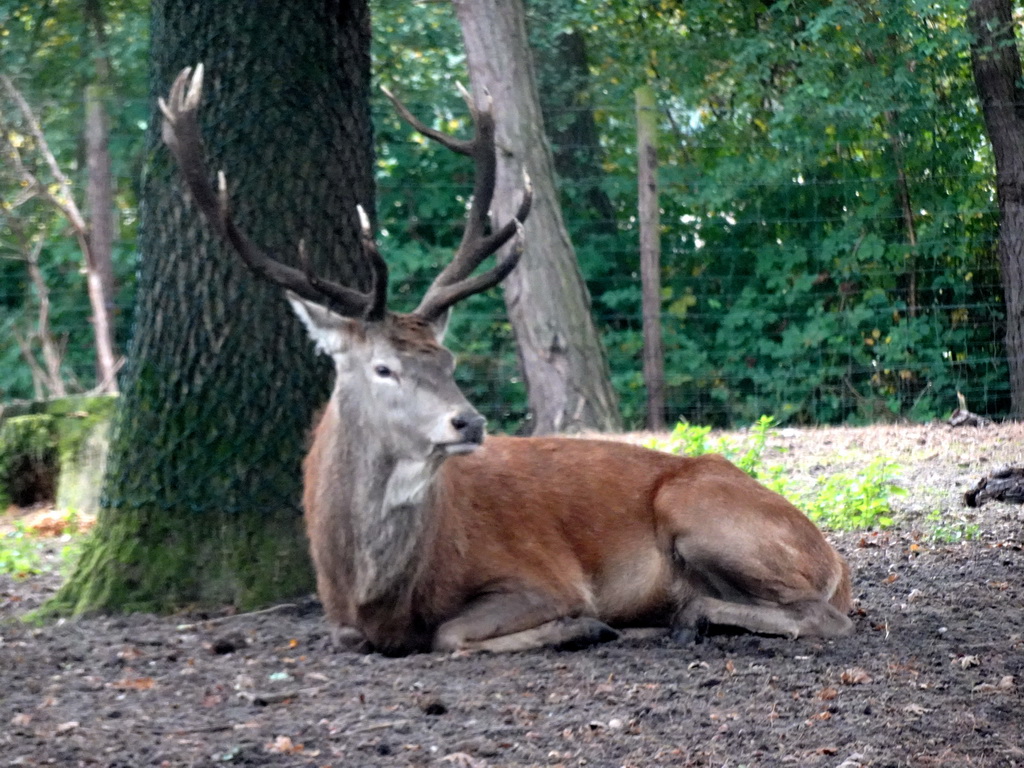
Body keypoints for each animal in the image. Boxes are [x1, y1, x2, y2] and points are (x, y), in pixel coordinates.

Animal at [157, 64, 847, 655]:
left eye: (448, 359)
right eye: (383, 367)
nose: (470, 421)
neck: (375, 589)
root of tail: (834, 558)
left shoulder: (541, 573)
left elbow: (451, 633)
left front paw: (582, 626)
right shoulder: (343, 621)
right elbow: (354, 636)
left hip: (699, 509)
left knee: (820, 615)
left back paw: (683, 615)